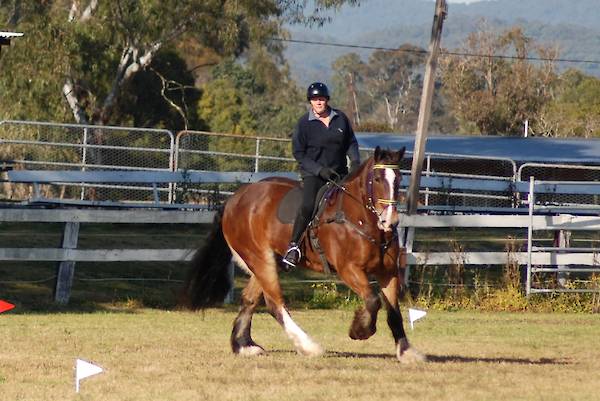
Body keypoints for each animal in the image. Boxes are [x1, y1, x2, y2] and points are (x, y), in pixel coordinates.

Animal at [182, 146, 425, 363]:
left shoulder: (388, 273)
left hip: (268, 260)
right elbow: (373, 300)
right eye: (377, 178)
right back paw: (309, 346)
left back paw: (244, 346)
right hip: (259, 258)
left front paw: (406, 352)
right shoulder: (349, 270)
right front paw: (360, 330)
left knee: (250, 299)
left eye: (399, 179)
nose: (390, 221)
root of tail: (235, 199)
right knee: (275, 303)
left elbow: (394, 313)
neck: (363, 221)